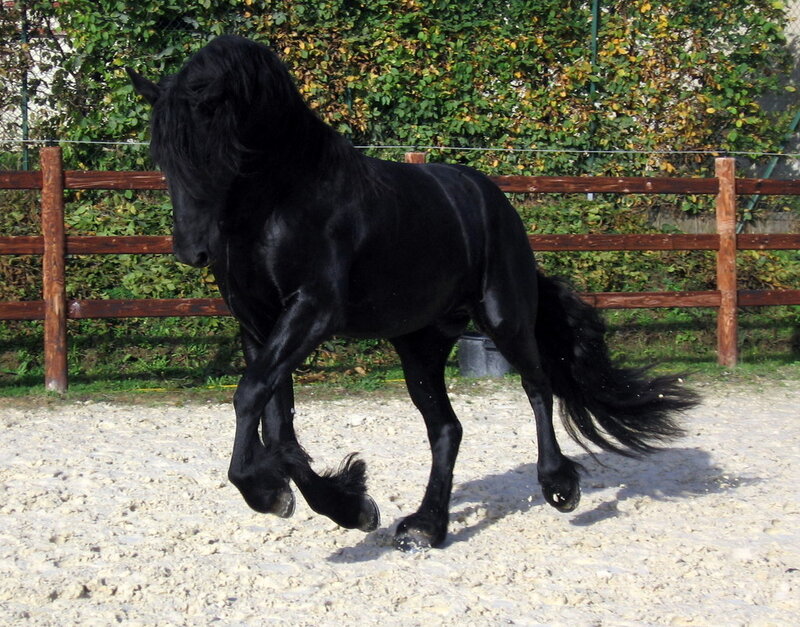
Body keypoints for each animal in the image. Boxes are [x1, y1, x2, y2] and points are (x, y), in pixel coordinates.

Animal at [128, 35, 699, 551]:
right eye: (163, 155)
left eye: (222, 150)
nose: (191, 249)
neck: (285, 199)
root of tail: (492, 199)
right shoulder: (258, 324)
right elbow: (275, 422)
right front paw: (338, 504)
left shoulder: (311, 311)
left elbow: (251, 397)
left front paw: (276, 493)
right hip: (419, 345)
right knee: (447, 429)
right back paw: (427, 527)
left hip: (504, 317)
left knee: (537, 386)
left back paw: (558, 484)